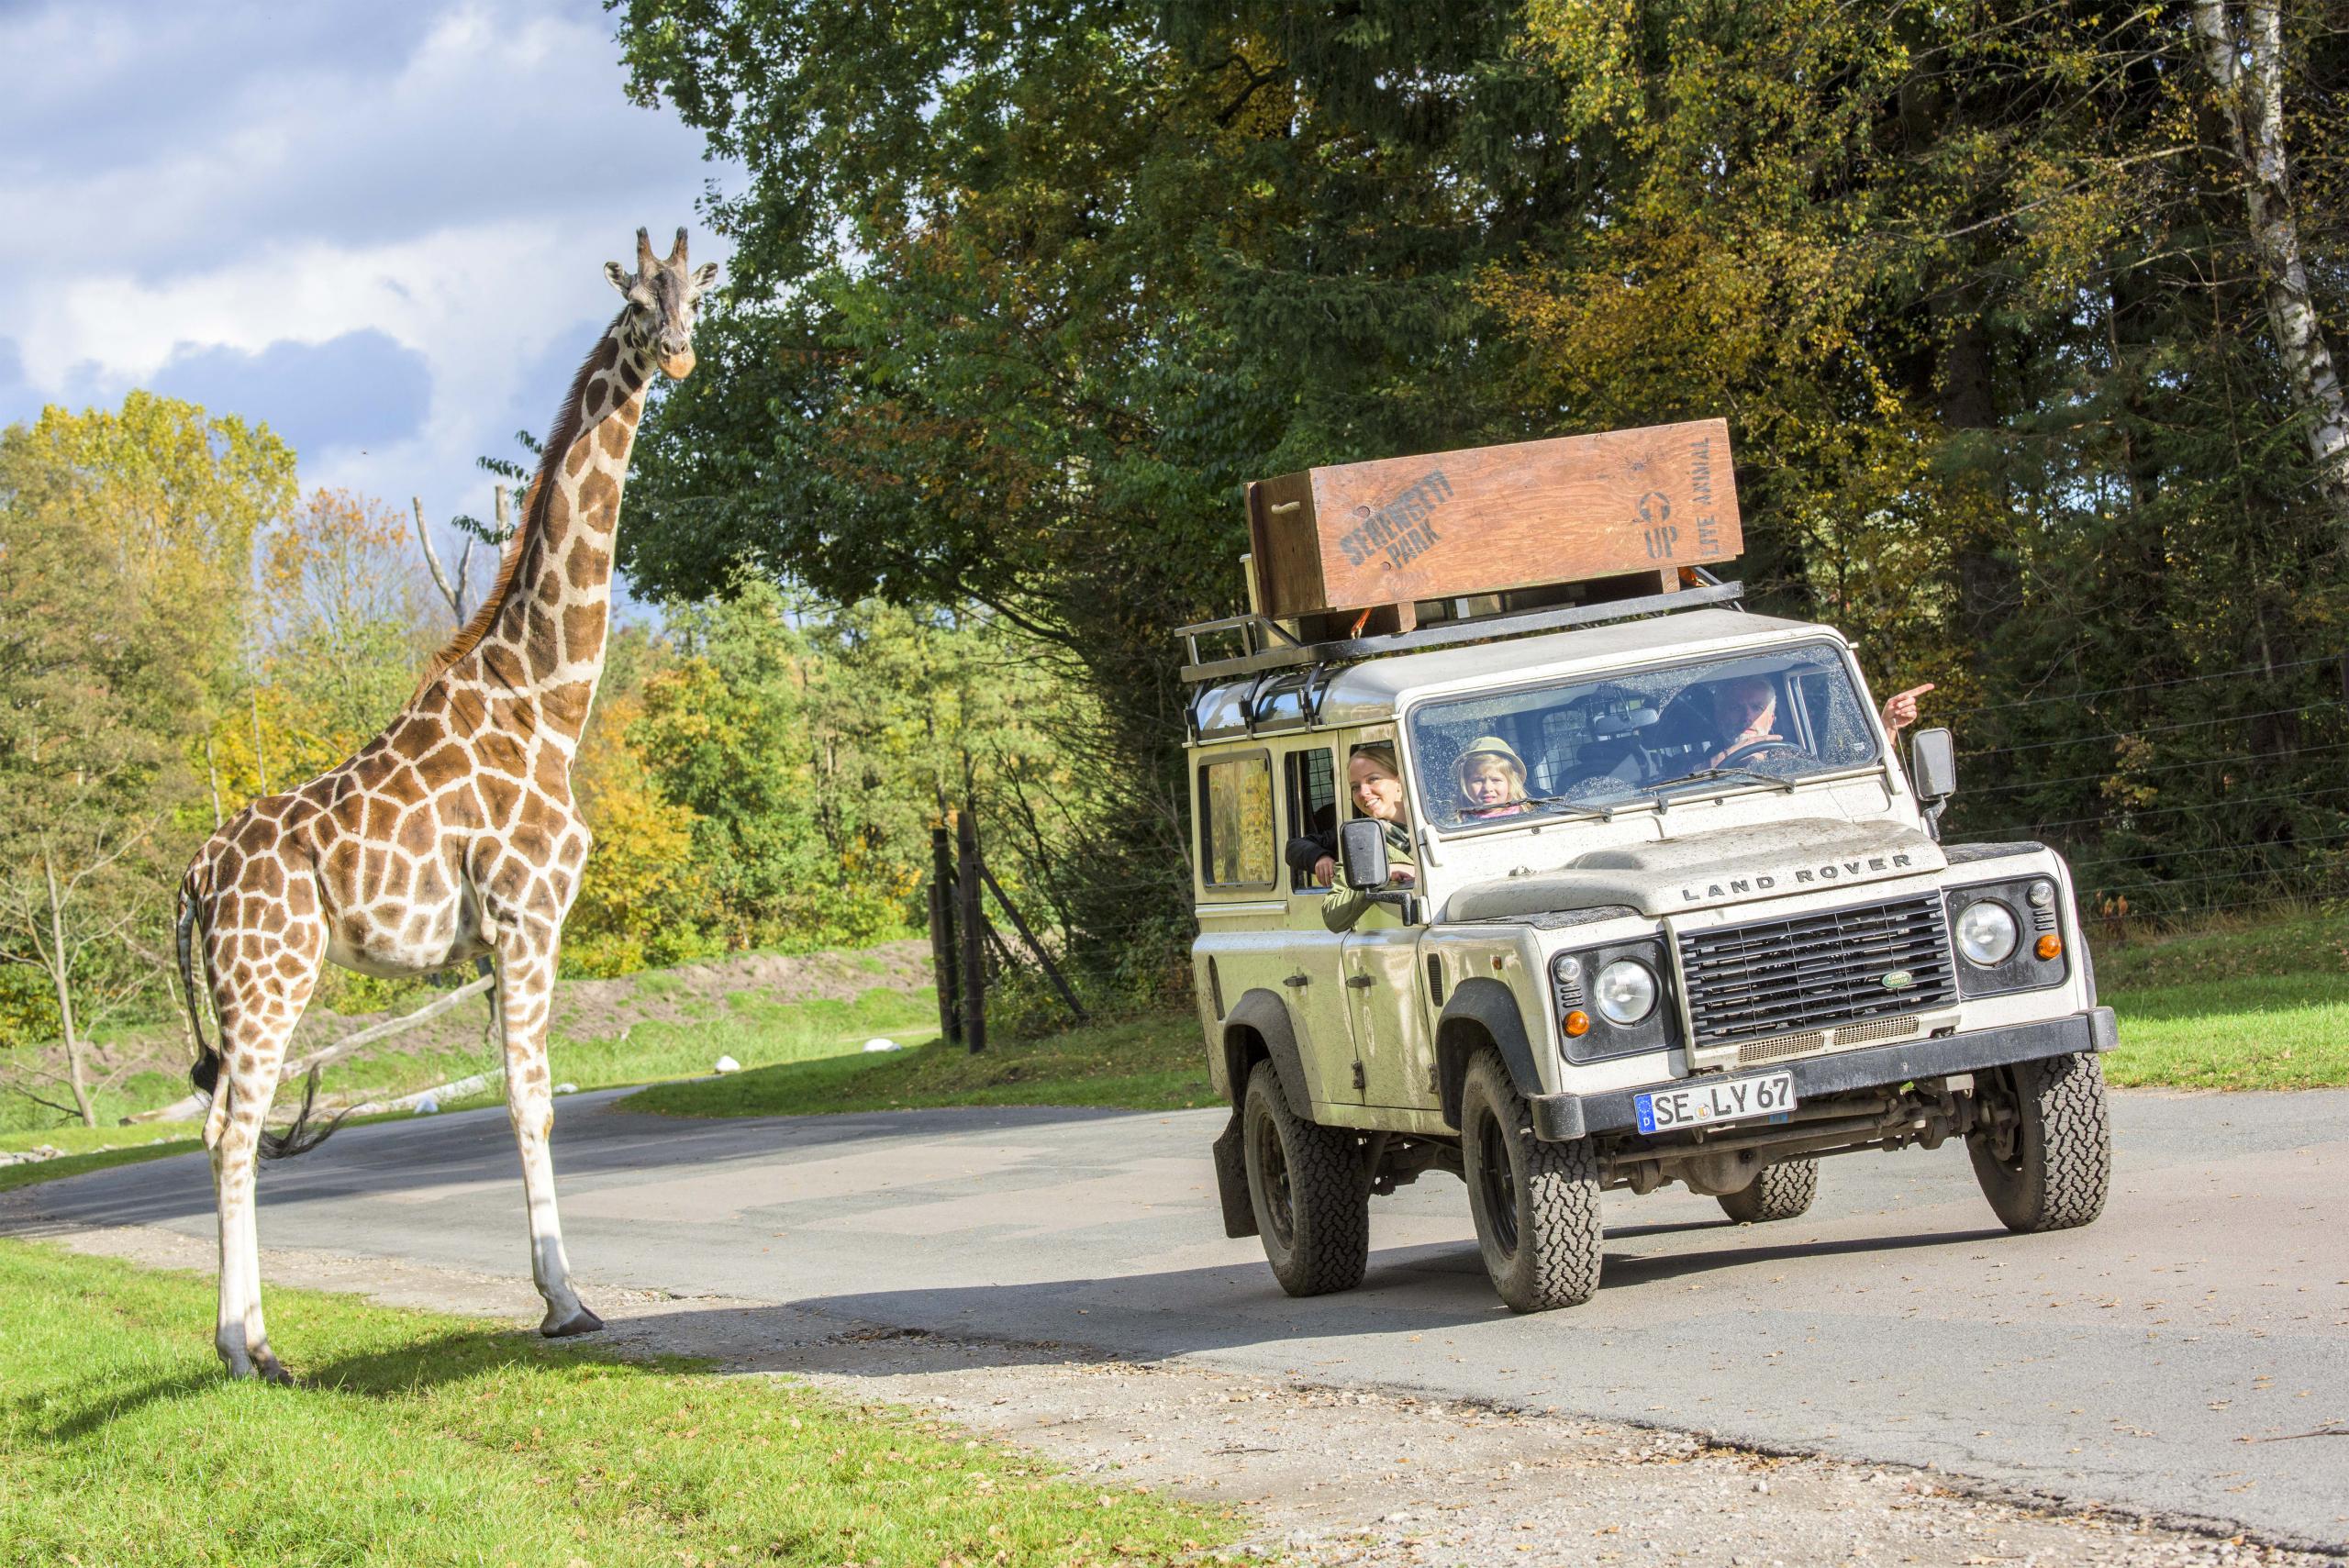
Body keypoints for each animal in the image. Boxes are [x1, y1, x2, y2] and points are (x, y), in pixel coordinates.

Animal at [174, 228, 718, 1381]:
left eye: (698, 293)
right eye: (636, 301)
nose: (680, 353)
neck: (546, 698)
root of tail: (195, 877)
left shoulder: (499, 935)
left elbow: (519, 1094)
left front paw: (560, 1294)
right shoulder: (527, 914)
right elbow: (532, 1099)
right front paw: (565, 1301)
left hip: (250, 989)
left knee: (222, 1126)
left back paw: (254, 1341)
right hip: (271, 977)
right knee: (234, 1128)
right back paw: (247, 1348)